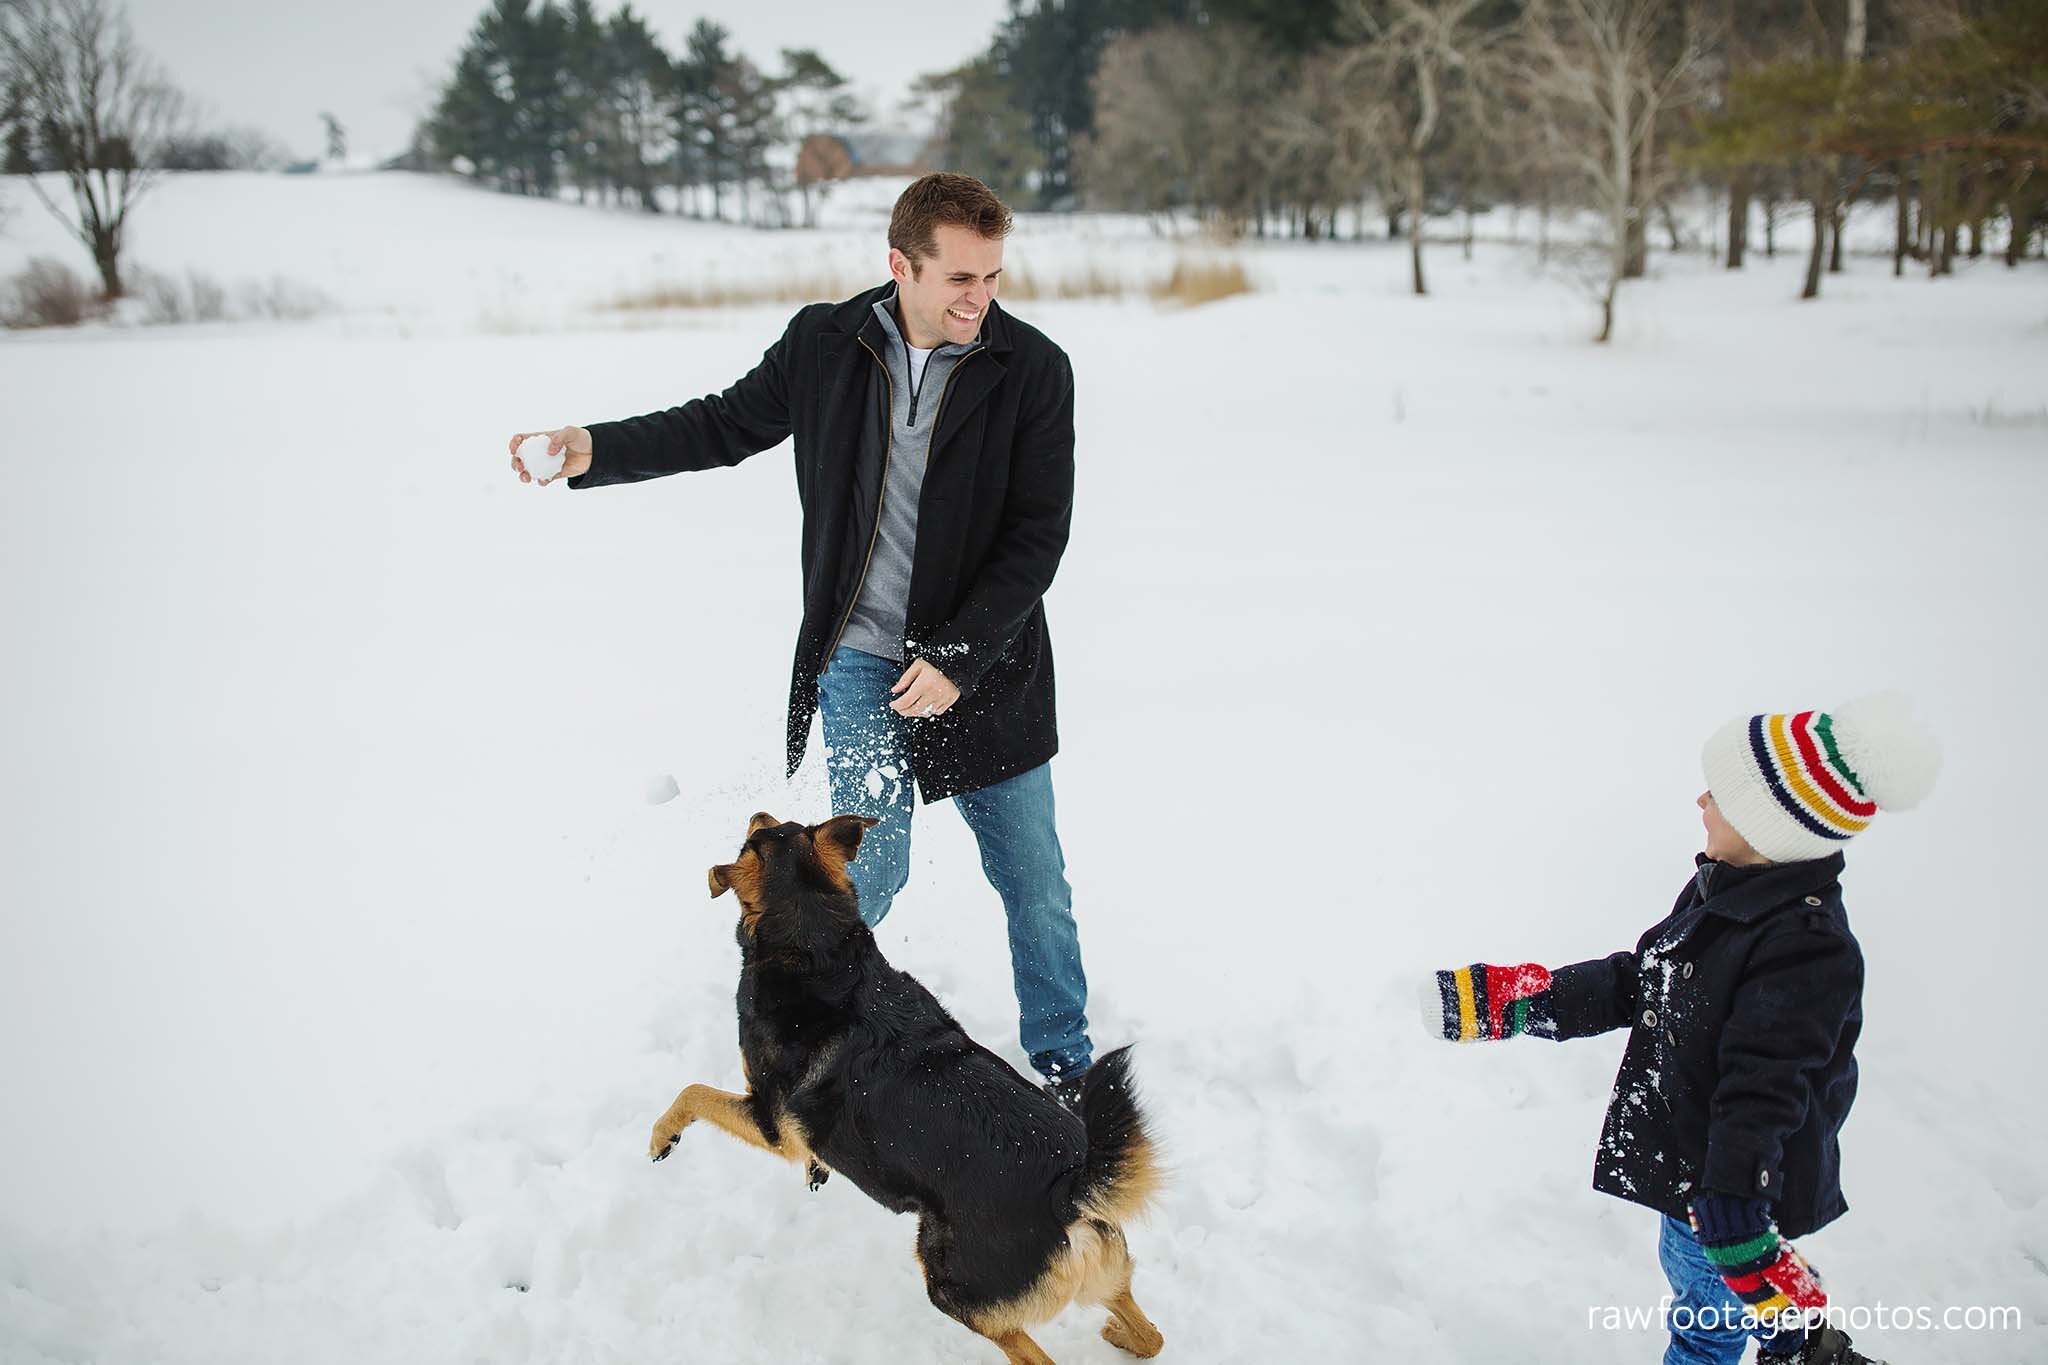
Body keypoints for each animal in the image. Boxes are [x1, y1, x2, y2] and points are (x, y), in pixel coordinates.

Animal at [655, 810, 1171, 1365]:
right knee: (1149, 1333)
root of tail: (1067, 1191)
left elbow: (692, 1092)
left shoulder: (768, 1119)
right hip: (1104, 1264)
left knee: (1033, 1353)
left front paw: (662, 1138)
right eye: (786, 825)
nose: (759, 814)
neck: (817, 946)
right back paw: (1123, 1336)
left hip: (950, 1282)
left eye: (756, 838)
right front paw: (818, 1169)